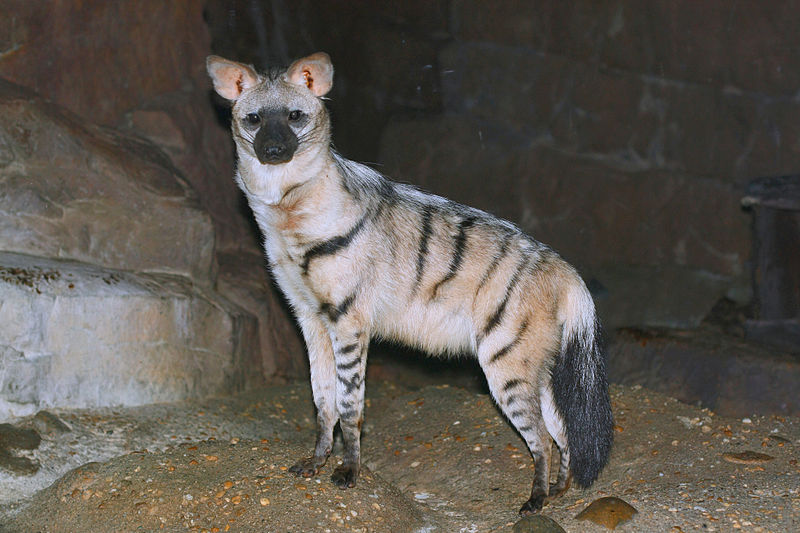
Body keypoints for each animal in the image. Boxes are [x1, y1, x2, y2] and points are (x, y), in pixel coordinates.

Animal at [206, 52, 613, 514]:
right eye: (254, 119)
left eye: (294, 116)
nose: (274, 149)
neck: (287, 215)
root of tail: (563, 269)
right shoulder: (310, 318)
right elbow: (321, 399)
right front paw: (314, 462)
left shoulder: (349, 320)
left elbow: (349, 402)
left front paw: (348, 472)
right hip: (531, 359)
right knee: (560, 425)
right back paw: (559, 490)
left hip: (504, 359)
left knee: (541, 435)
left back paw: (535, 500)